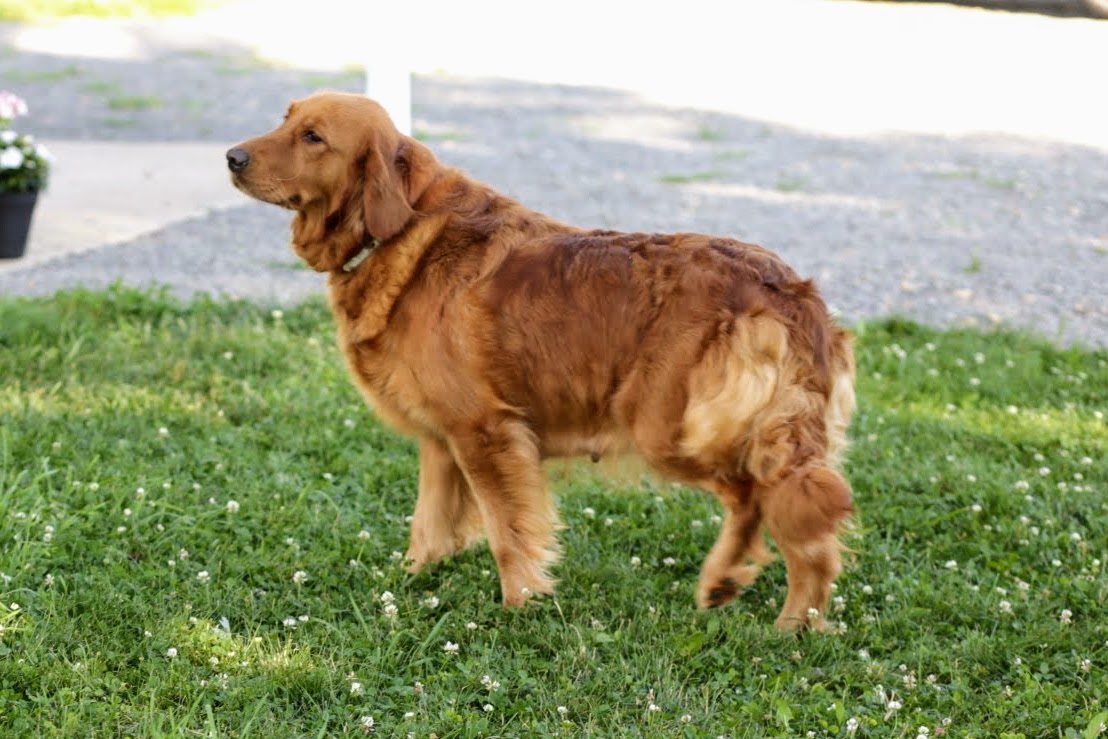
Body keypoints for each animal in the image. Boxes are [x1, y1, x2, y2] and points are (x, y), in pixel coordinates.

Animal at [227, 90, 855, 629]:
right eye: (285, 119)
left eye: (313, 137)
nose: (232, 157)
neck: (401, 230)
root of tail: (788, 292)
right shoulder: (441, 439)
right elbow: (428, 525)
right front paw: (409, 582)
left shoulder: (485, 432)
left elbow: (508, 531)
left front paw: (519, 606)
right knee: (795, 519)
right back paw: (780, 612)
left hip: (669, 426)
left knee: (759, 499)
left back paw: (767, 609)